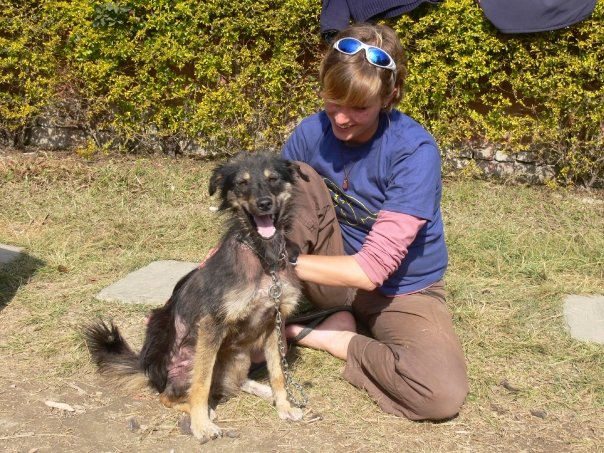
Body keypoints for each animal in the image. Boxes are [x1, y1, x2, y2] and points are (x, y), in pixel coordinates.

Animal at [84, 152, 306, 442]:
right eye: (242, 183)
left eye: (274, 179)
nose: (264, 203)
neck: (263, 257)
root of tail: (149, 370)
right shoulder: (211, 324)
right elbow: (201, 382)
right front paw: (202, 425)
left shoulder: (274, 322)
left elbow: (278, 372)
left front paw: (284, 405)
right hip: (187, 362)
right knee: (170, 396)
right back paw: (200, 410)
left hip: (239, 358)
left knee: (233, 383)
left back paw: (262, 391)